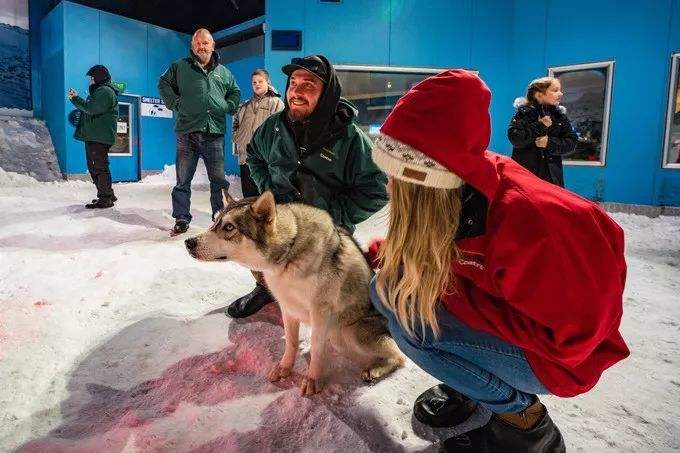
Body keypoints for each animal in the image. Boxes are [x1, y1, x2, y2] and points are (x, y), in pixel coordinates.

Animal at [185, 192, 404, 396]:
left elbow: (316, 349)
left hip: (352, 332)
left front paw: (313, 379)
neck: (288, 256)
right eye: (215, 222)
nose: (188, 242)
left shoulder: (320, 312)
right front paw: (284, 368)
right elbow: (290, 344)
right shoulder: (288, 308)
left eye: (230, 227)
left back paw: (375, 370)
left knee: (400, 356)